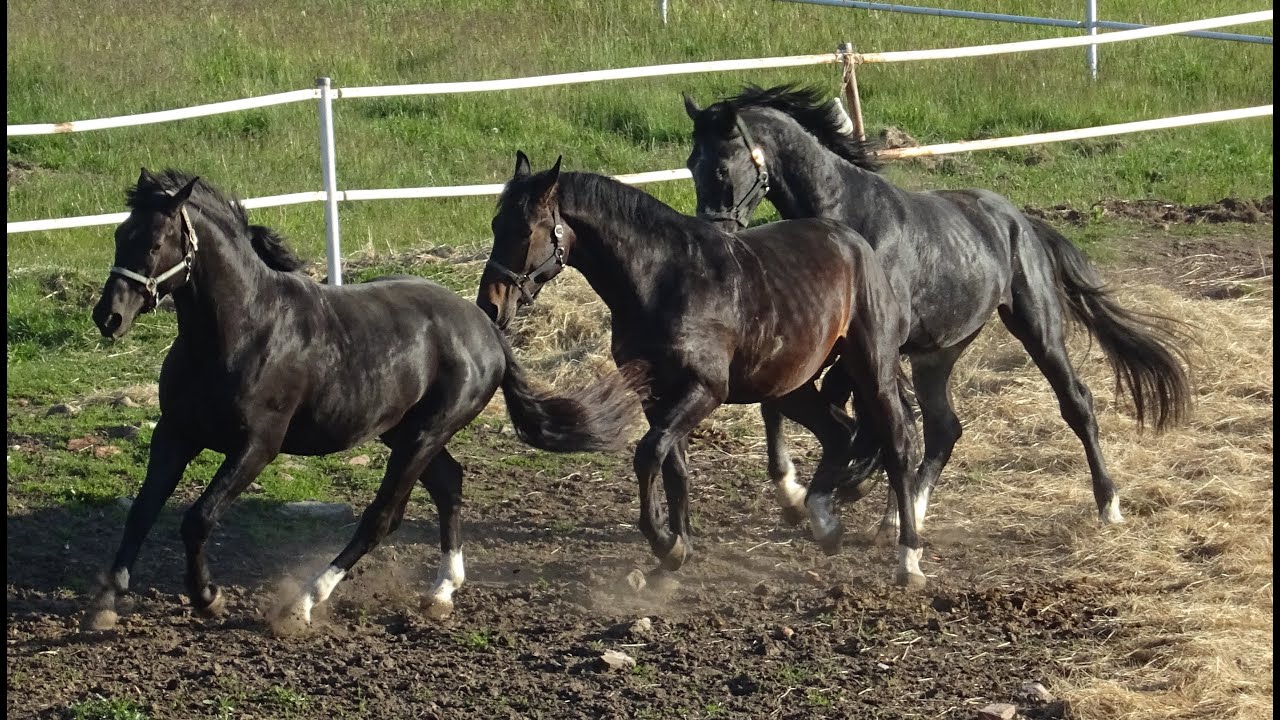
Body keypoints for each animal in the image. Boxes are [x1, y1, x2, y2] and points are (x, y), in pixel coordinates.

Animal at [85, 168, 642, 634]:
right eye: (119, 236)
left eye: (156, 242)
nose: (108, 316)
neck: (241, 331)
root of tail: (486, 327)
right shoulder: (175, 433)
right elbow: (142, 510)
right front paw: (107, 601)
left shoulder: (257, 446)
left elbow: (198, 518)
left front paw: (208, 598)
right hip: (404, 431)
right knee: (449, 484)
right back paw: (441, 593)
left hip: (423, 435)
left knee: (383, 516)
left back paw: (304, 604)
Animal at [476, 151, 933, 588]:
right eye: (496, 223)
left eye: (526, 230)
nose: (491, 306)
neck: (663, 282)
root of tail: (855, 243)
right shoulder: (655, 394)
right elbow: (674, 468)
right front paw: (677, 552)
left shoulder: (705, 389)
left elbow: (648, 454)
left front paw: (665, 544)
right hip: (789, 386)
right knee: (841, 433)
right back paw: (823, 520)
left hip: (872, 370)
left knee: (898, 443)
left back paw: (908, 558)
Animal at [682, 84, 1192, 542]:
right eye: (690, 164)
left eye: (723, 166)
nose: (713, 237)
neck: (849, 220)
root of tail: (1020, 221)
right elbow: (792, 404)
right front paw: (798, 491)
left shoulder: (866, 347)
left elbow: (856, 415)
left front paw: (837, 487)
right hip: (938, 353)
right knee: (945, 427)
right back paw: (902, 514)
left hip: (1038, 329)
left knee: (1077, 404)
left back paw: (1109, 504)